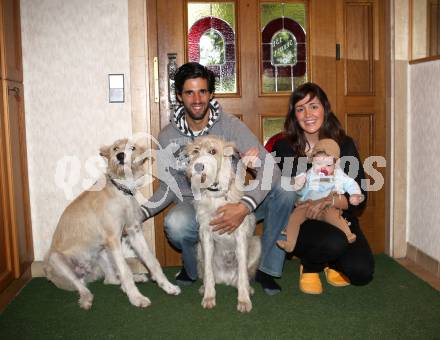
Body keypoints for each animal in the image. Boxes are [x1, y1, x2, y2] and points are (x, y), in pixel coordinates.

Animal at [44, 137, 180, 308]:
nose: (120, 155)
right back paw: (86, 298)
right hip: (57, 259)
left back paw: (135, 278)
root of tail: (85, 271)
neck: (122, 190)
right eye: (115, 148)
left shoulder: (134, 231)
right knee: (80, 284)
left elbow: (151, 260)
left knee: (110, 279)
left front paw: (167, 286)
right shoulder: (113, 238)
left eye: (132, 148)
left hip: (101, 251)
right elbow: (125, 270)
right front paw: (136, 298)